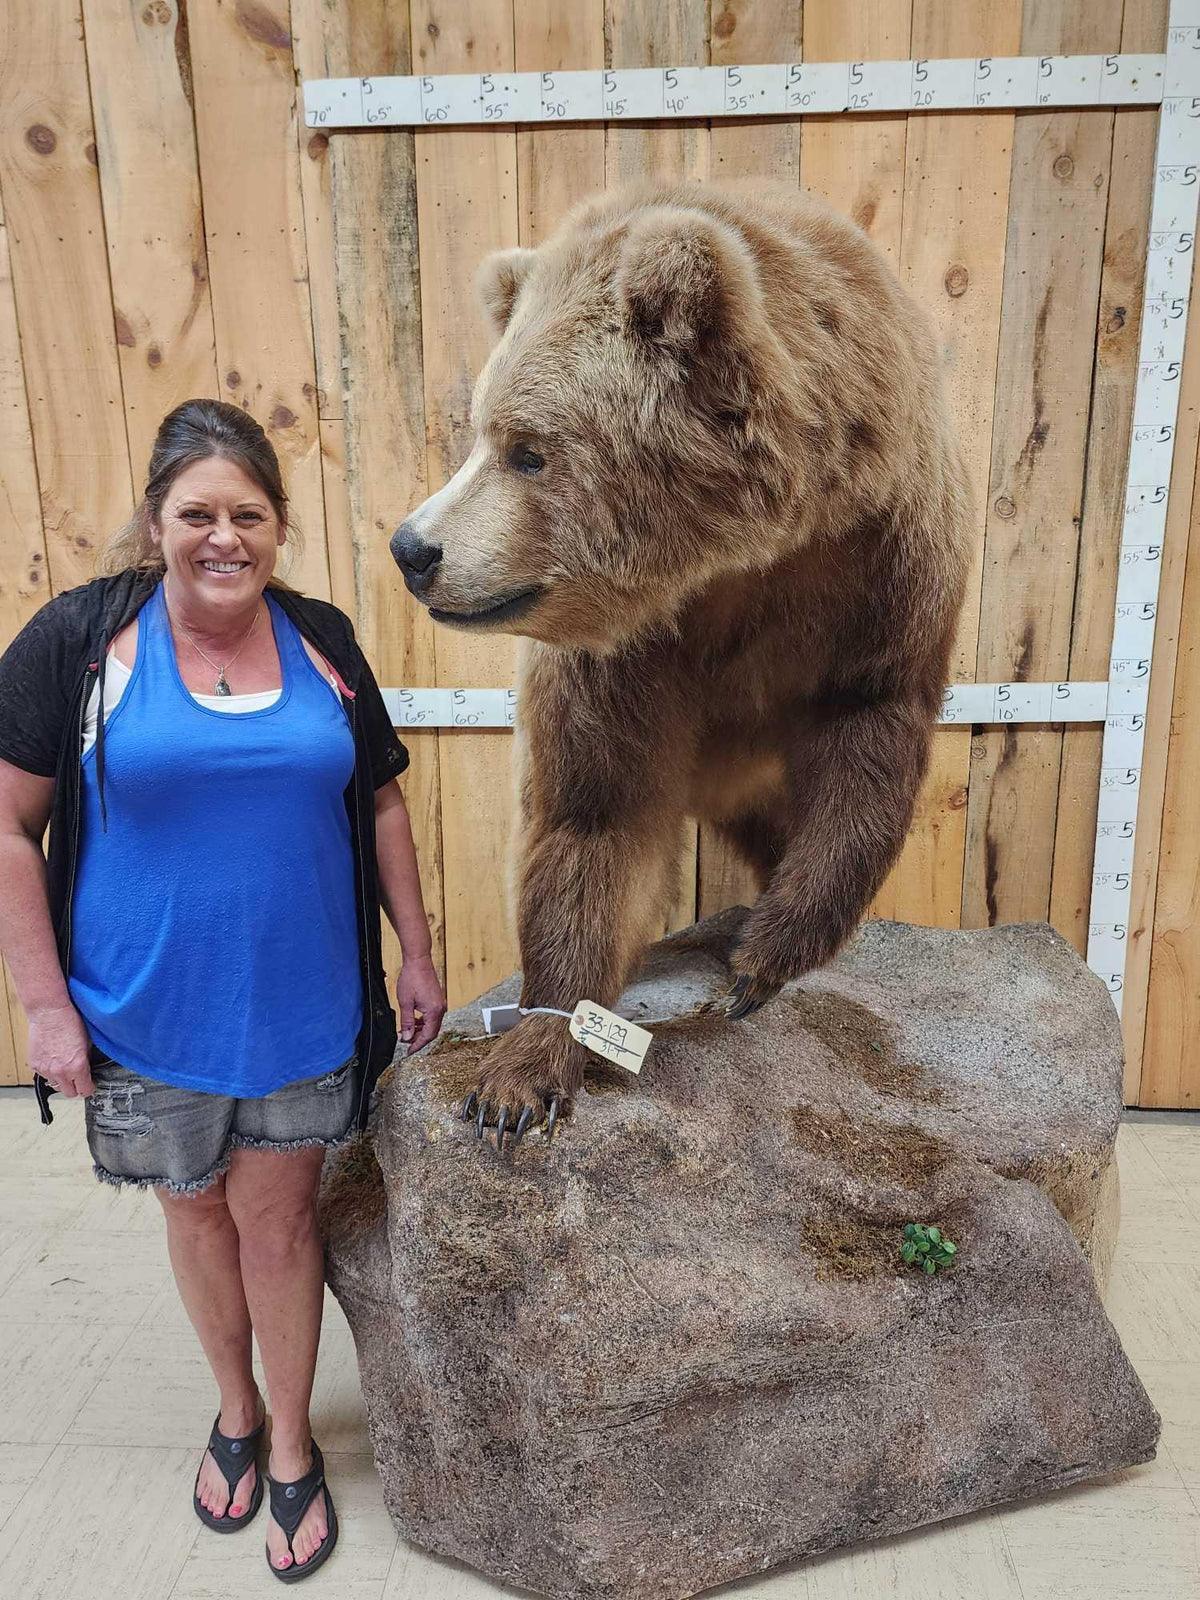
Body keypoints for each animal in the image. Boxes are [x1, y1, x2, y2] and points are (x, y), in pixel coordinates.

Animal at [392, 178, 972, 1151]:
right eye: (477, 433)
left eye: (528, 450)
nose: (413, 548)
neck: (740, 558)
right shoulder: (627, 653)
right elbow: (595, 816)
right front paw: (522, 1075)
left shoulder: (880, 568)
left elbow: (866, 739)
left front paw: (760, 958)